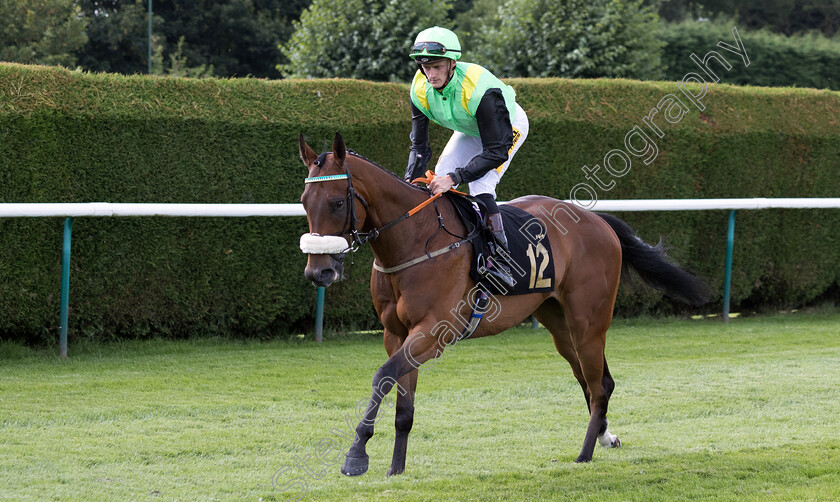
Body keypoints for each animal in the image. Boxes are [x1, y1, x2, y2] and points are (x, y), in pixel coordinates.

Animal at [296, 132, 708, 474]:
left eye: (337, 202)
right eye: (304, 202)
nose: (319, 271)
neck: (414, 241)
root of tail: (597, 220)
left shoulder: (432, 333)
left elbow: (382, 376)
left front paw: (356, 455)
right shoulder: (396, 334)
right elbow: (403, 406)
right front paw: (395, 469)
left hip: (589, 321)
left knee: (598, 384)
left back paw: (585, 453)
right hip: (559, 323)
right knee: (593, 380)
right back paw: (606, 437)